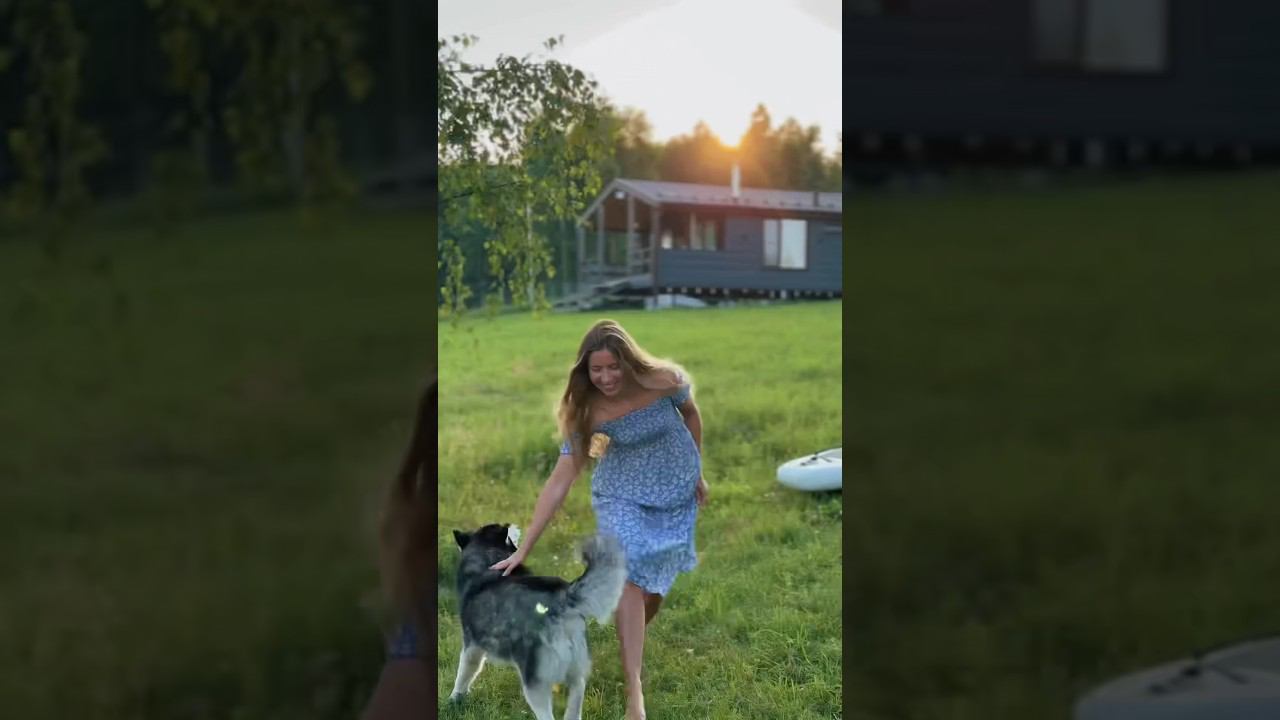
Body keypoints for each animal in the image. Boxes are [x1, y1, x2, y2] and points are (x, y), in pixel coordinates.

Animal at [448, 523, 627, 720]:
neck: (487, 556)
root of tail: (564, 598)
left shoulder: (472, 646)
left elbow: (464, 673)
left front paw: (454, 699)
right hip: (576, 671)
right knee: (576, 697)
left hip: (535, 683)